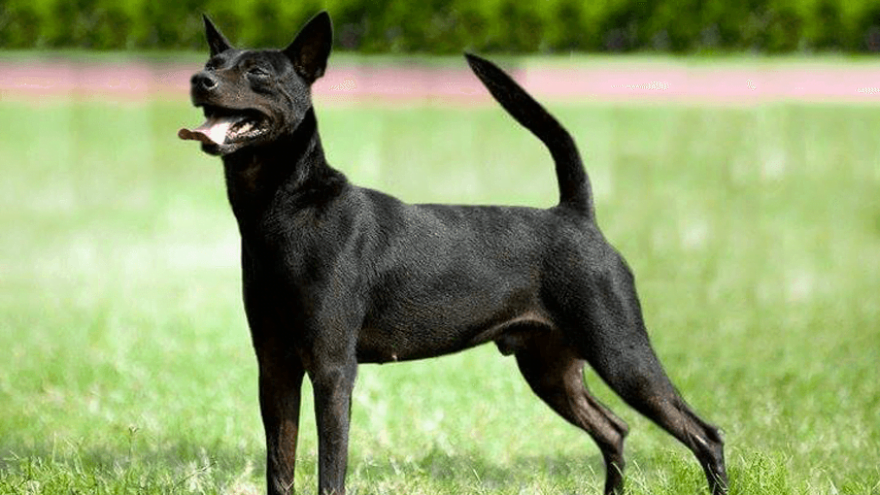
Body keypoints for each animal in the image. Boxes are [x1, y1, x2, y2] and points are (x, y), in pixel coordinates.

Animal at [179, 12, 728, 495]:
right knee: (614, 429)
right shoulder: (275, 366)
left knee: (705, 435)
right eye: (215, 60)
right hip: (550, 366)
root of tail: (576, 214)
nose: (199, 79)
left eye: (257, 71)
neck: (287, 207)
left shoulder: (332, 369)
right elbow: (280, 466)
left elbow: (330, 470)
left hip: (619, 350)